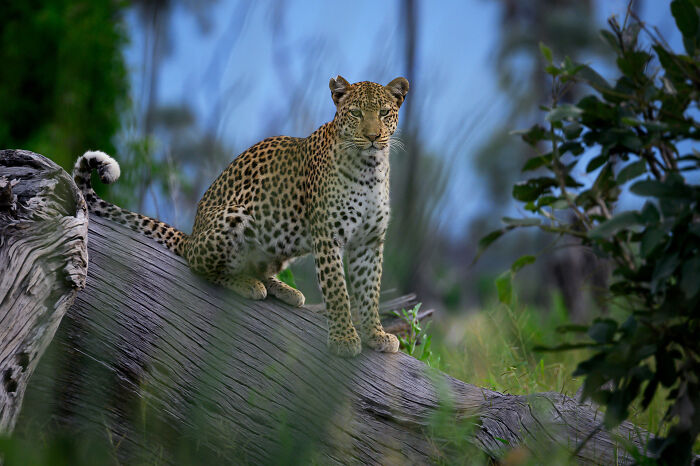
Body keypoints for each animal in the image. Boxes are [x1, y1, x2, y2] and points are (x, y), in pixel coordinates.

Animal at [73, 75, 409, 358]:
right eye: (355, 113)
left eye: (383, 112)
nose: (373, 136)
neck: (370, 169)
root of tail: (192, 235)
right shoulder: (328, 236)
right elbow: (338, 289)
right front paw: (344, 338)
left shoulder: (370, 242)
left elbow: (370, 290)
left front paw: (376, 334)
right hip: (237, 215)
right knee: (200, 267)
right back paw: (246, 284)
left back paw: (283, 289)